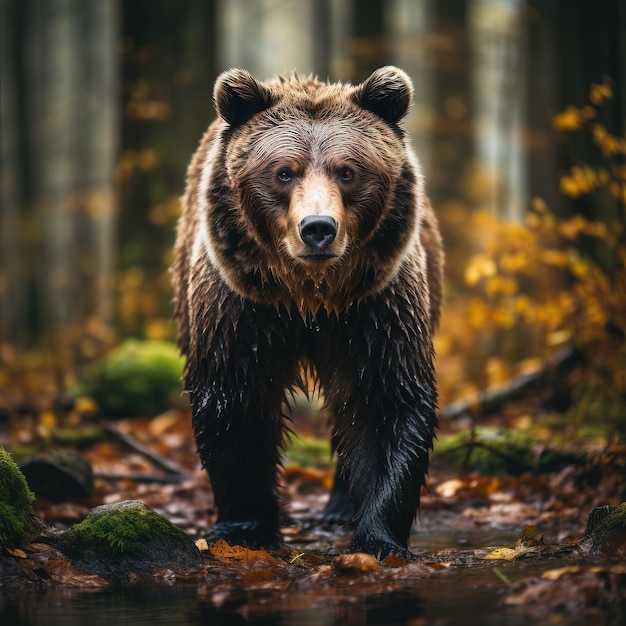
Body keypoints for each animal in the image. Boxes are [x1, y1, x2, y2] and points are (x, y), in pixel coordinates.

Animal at [171, 66, 442, 560]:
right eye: (283, 172)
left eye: (348, 170)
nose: (318, 228)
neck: (308, 297)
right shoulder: (240, 304)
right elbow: (234, 399)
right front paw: (243, 527)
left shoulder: (378, 304)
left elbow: (386, 399)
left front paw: (377, 537)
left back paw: (338, 506)